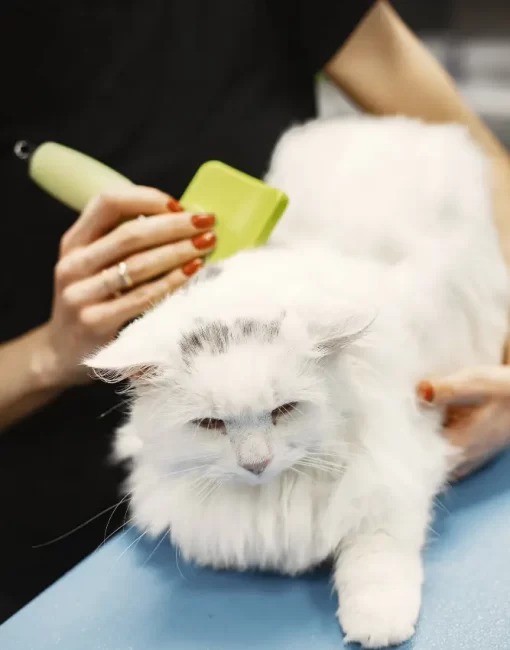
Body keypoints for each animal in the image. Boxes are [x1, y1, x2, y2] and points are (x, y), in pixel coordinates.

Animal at [87, 115, 510, 644]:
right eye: (210, 425)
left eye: (284, 411)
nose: (255, 464)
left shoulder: (394, 465)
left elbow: (376, 553)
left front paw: (377, 624)